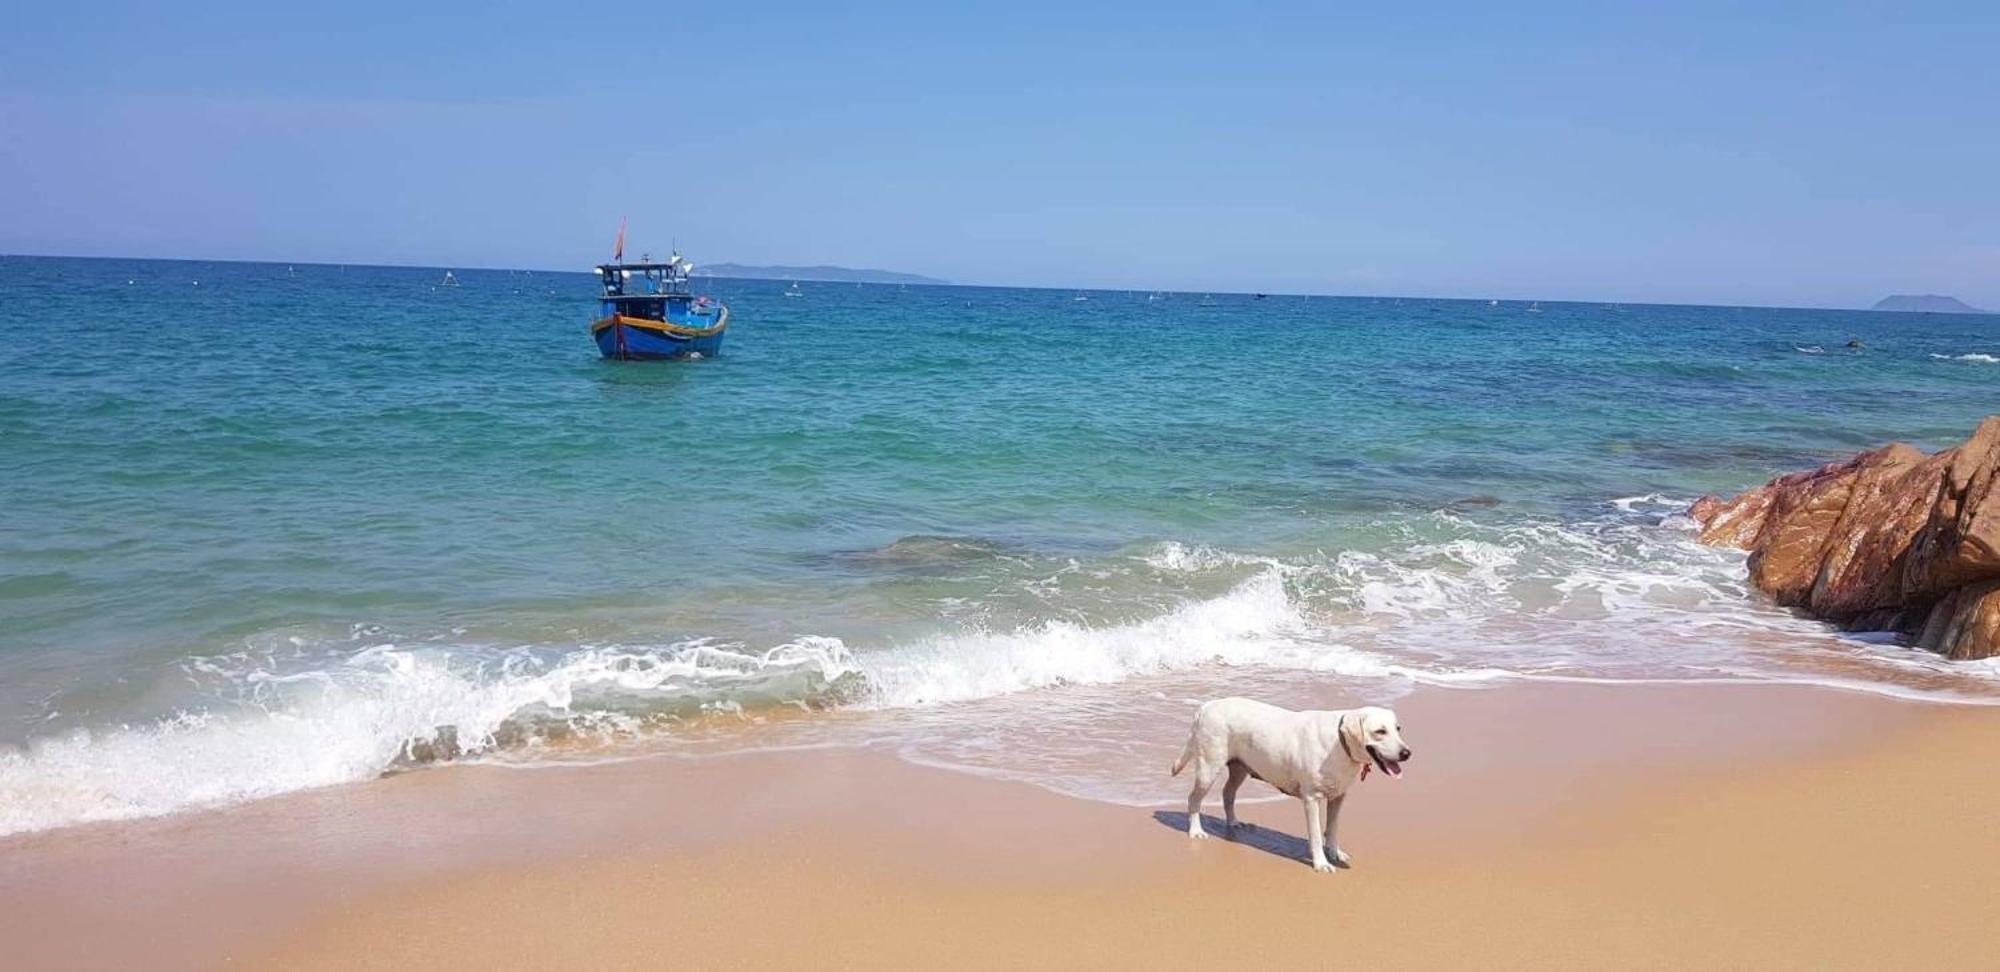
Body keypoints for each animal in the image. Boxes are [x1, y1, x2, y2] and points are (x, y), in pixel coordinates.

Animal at [1168, 700, 1408, 872]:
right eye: (1380, 731)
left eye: (1398, 729)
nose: (1407, 753)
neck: (1340, 744)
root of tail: (1206, 705)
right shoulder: (1311, 798)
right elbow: (1316, 833)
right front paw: (1321, 862)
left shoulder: (1338, 797)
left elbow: (1332, 829)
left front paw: (1335, 852)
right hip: (1209, 767)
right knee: (1193, 798)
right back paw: (1196, 830)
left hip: (1239, 768)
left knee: (1228, 793)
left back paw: (1233, 822)